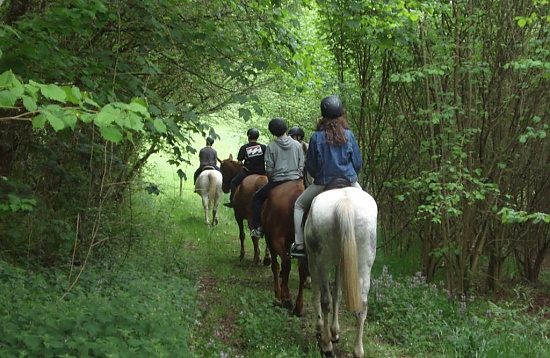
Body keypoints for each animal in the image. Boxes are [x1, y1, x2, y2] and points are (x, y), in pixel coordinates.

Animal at [260, 179, 308, 316]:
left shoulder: (270, 240)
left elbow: (275, 266)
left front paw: (277, 294)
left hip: (276, 239)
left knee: (286, 263)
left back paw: (285, 298)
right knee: (302, 270)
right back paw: (298, 307)